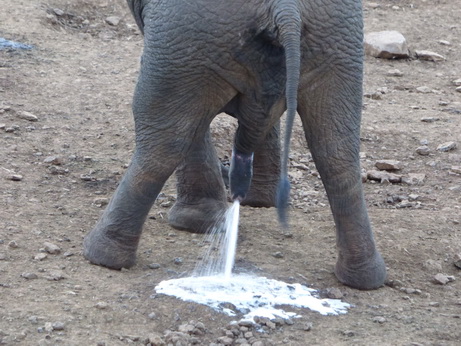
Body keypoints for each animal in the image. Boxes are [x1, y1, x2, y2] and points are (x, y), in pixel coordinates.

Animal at [82, 0, 384, 290]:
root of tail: (287, 8)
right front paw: (251, 203)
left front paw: (200, 221)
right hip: (338, 43)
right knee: (336, 149)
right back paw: (363, 279)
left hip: (192, 37)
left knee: (165, 136)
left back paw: (100, 257)